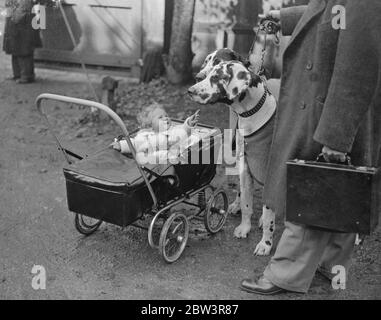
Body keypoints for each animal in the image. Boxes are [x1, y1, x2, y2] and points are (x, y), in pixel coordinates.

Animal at [189, 58, 276, 258]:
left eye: (215, 77)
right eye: (208, 73)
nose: (190, 90)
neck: (252, 115)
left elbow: (269, 216)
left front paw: (265, 244)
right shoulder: (246, 169)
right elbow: (246, 203)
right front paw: (244, 228)